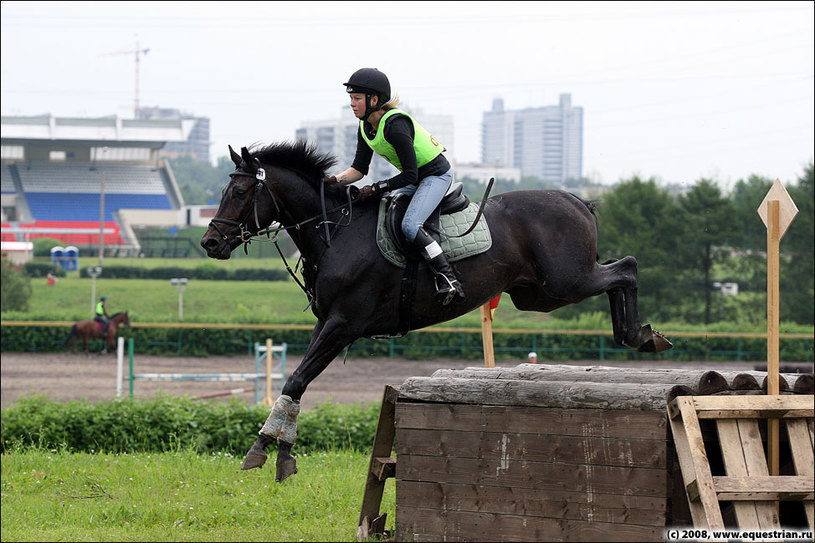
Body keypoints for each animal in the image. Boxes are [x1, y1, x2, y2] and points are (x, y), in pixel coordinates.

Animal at [201, 142, 672, 482]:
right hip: (537, 294)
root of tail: (575, 199)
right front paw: (274, 449)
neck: (336, 229)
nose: (210, 243)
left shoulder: (343, 325)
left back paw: (641, 335)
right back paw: (637, 334)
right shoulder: (327, 323)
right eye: (222, 192)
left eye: (240, 192)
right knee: (616, 273)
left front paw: (270, 449)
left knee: (626, 268)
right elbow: (296, 382)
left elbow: (298, 379)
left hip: (565, 282)